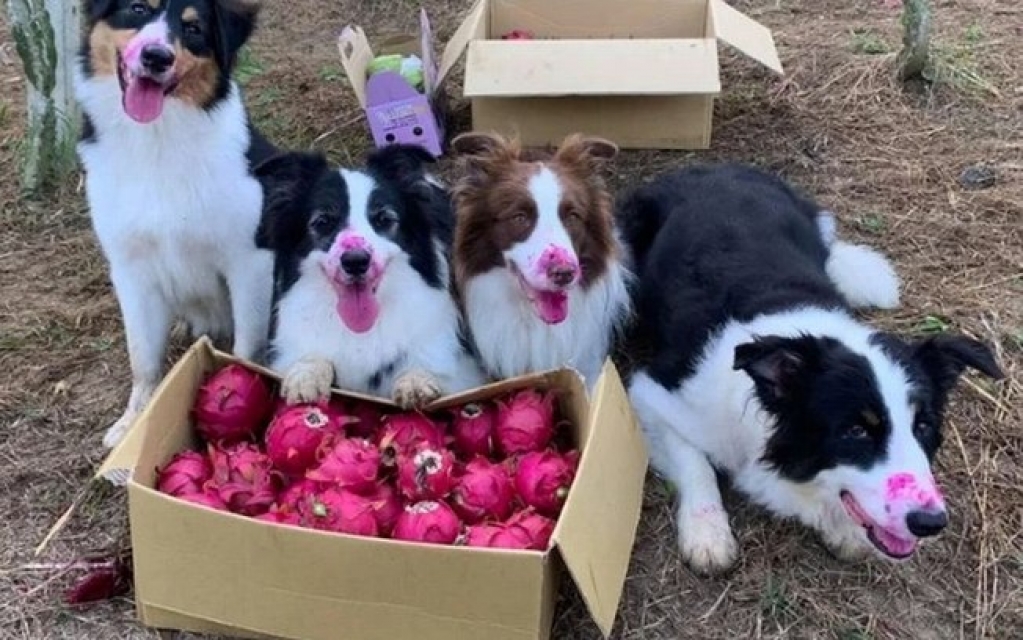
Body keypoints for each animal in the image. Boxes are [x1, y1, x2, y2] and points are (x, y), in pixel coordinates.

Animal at [76, 0, 276, 445]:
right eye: (137, 9)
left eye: (194, 29)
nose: (156, 57)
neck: (156, 139)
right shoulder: (130, 270)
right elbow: (142, 359)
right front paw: (133, 423)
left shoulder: (249, 262)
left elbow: (246, 347)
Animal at [617, 164, 1002, 572]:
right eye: (856, 431)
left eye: (924, 426)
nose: (930, 522)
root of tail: (713, 167)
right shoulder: (653, 392)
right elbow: (695, 464)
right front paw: (707, 534)